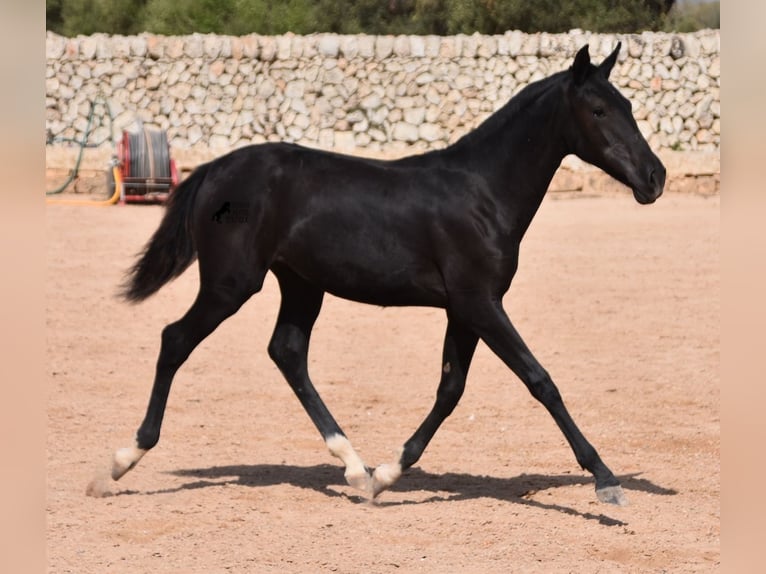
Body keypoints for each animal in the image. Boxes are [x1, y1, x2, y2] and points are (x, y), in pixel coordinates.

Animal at [102, 44, 664, 508]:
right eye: (598, 111)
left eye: (629, 108)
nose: (655, 177)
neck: (483, 192)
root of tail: (214, 170)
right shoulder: (480, 302)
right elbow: (540, 380)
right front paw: (606, 480)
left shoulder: (464, 309)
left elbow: (450, 390)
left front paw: (387, 476)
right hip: (232, 282)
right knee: (176, 339)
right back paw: (121, 461)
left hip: (301, 284)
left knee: (287, 352)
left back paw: (354, 468)